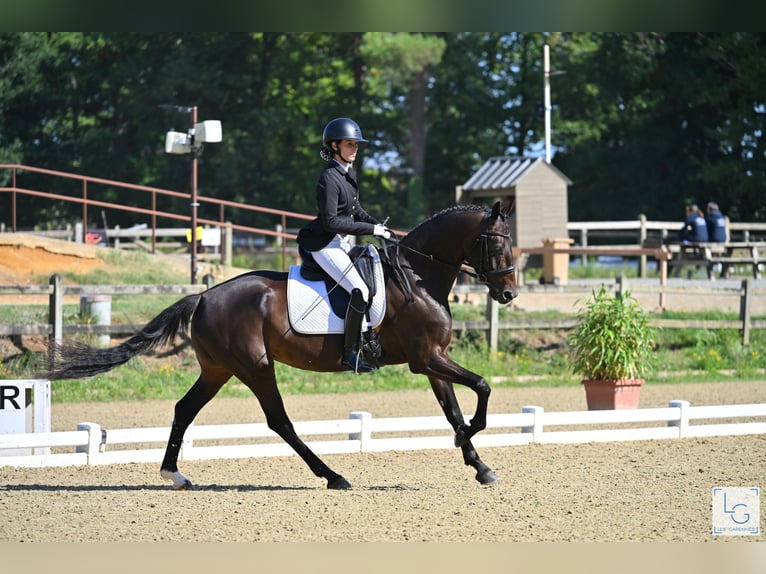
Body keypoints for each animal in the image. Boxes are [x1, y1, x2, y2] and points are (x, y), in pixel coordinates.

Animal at [44, 202, 518, 490]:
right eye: (497, 243)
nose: (509, 294)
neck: (418, 277)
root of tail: (205, 295)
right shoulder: (427, 359)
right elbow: (482, 386)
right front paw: (467, 439)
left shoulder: (432, 360)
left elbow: (454, 407)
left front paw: (479, 465)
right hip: (254, 366)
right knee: (279, 421)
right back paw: (332, 476)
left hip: (218, 369)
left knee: (184, 409)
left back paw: (174, 475)